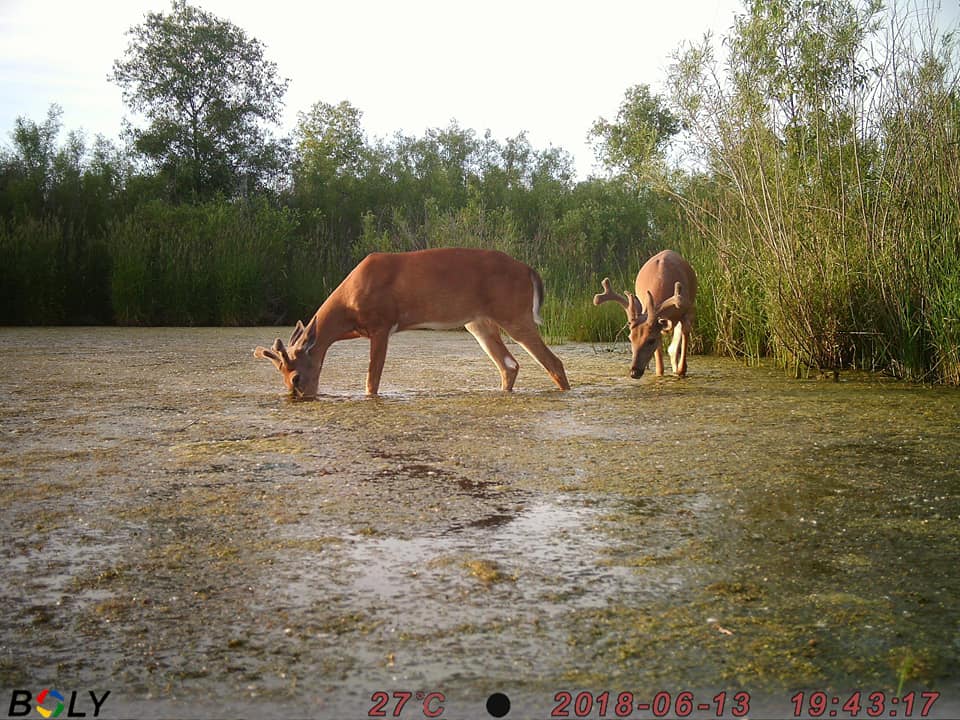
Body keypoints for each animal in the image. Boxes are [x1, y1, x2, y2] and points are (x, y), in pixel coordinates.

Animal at [254, 247, 570, 398]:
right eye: (283, 378)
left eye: (295, 377)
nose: (301, 396)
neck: (349, 309)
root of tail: (529, 270)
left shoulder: (381, 324)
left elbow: (372, 380)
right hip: (478, 322)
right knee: (509, 365)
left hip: (514, 313)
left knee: (553, 362)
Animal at [593, 249, 697, 379]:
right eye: (630, 338)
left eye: (650, 340)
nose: (634, 372)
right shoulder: (658, 328)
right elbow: (660, 368)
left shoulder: (688, 309)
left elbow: (684, 338)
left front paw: (680, 370)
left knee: (673, 346)